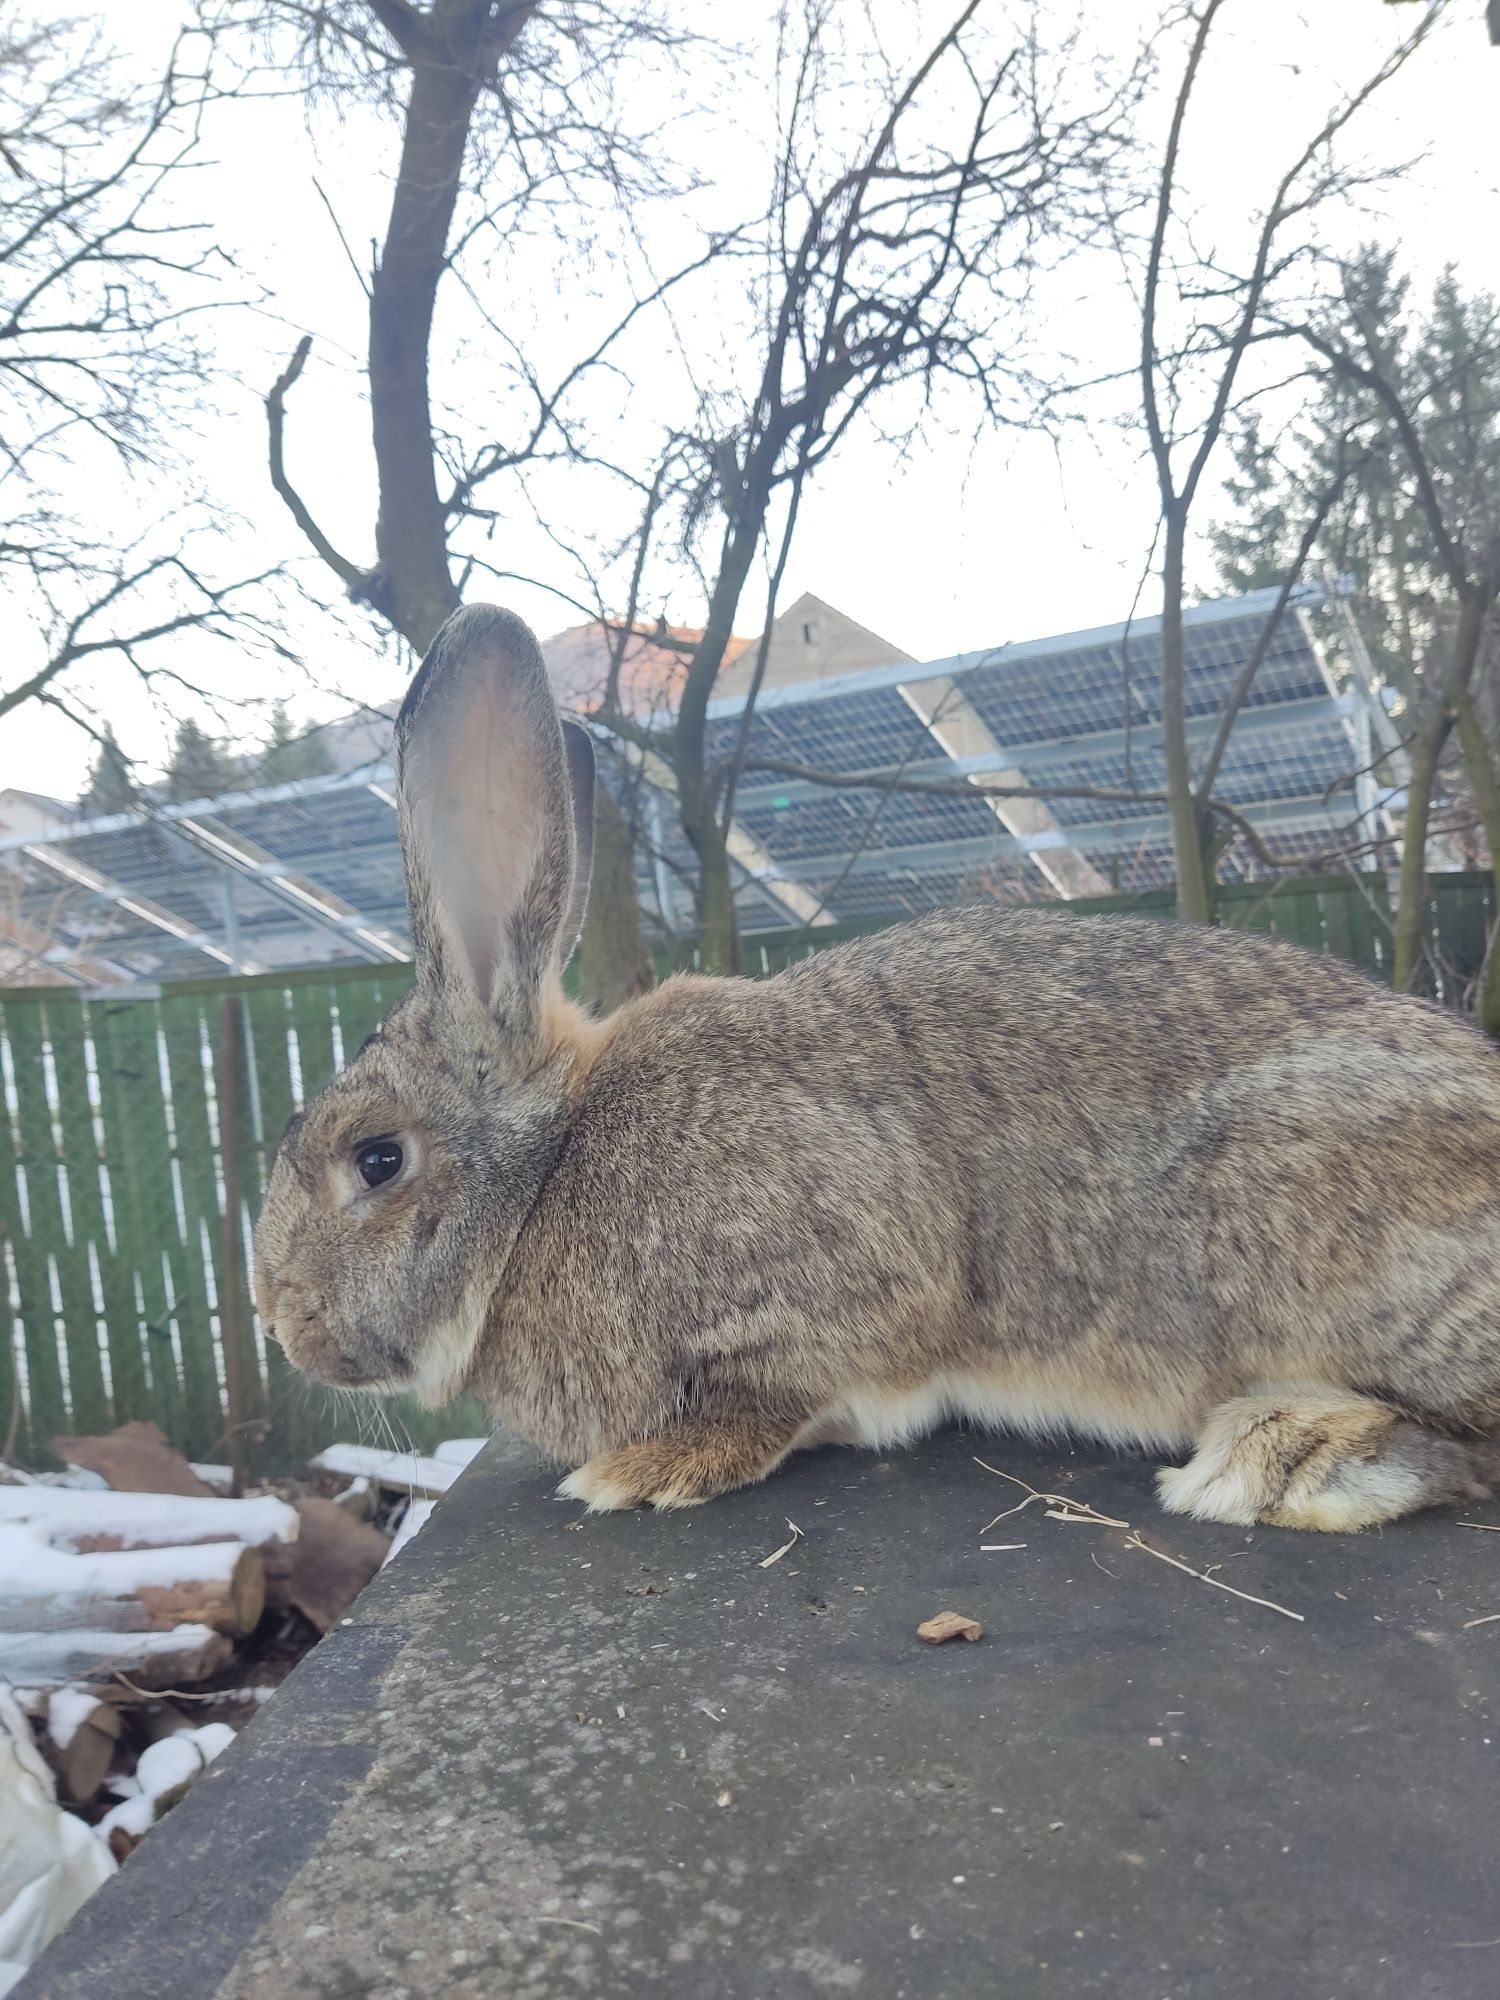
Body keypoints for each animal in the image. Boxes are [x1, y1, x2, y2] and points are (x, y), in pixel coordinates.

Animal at [253, 596, 1500, 1528]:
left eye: (376, 1158)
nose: (280, 1324)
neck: (541, 1177)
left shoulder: (841, 1277)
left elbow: (786, 1389)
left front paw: (647, 1470)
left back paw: (1281, 1452)